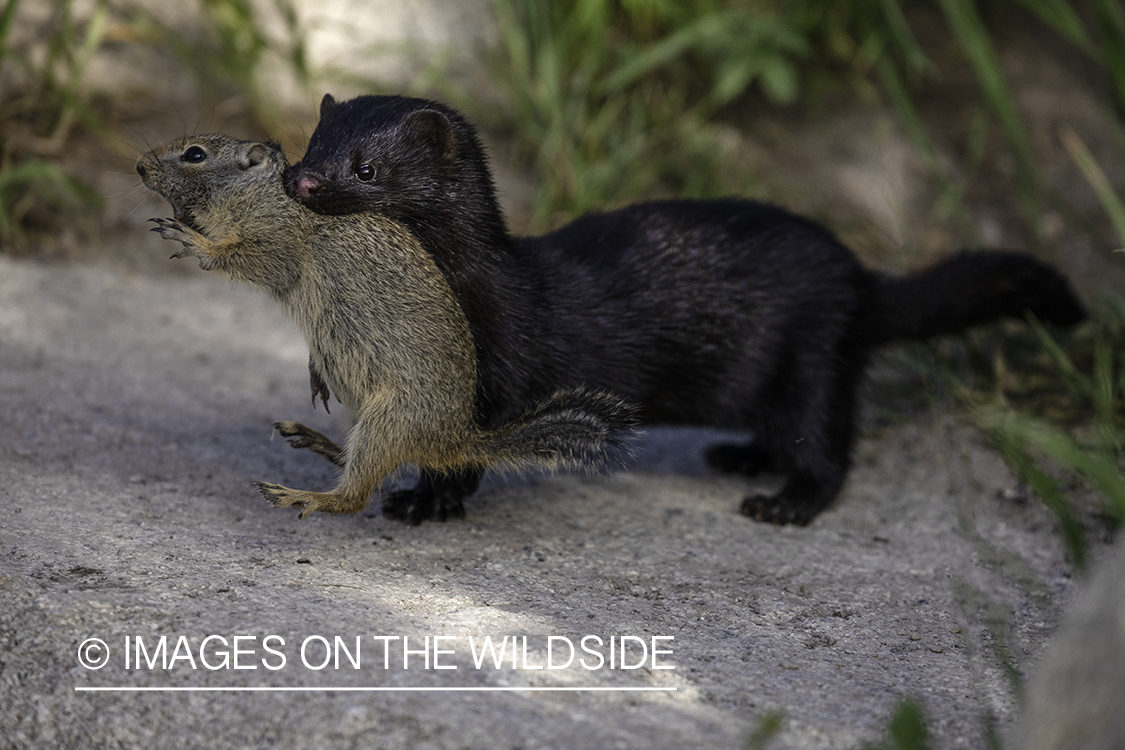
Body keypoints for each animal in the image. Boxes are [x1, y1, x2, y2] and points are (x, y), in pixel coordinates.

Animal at [133, 134, 634, 519]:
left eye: (195, 154)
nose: (138, 165)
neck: (263, 194)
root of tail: (454, 440)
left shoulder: (279, 241)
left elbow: (253, 259)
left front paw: (193, 240)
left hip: (387, 420)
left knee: (355, 496)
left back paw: (305, 495)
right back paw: (318, 442)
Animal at [283, 95, 1089, 528]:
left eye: (366, 167)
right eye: (309, 142)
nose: (302, 181)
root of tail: (861, 277)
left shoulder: (498, 366)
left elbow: (465, 447)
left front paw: (425, 503)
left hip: (812, 354)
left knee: (826, 446)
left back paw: (783, 501)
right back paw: (737, 454)